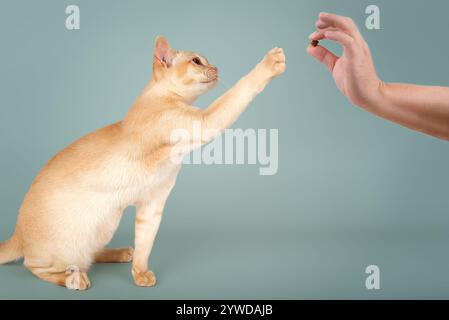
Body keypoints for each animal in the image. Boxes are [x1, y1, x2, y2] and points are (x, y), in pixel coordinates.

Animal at [0, 37, 286, 290]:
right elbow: (239, 90)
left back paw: (120, 253)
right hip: (73, 242)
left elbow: (145, 245)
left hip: (107, 221)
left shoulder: (153, 203)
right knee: (35, 266)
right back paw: (74, 279)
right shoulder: (205, 121)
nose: (216, 68)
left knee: (90, 254)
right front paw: (271, 62)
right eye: (197, 61)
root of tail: (18, 230)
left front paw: (140, 275)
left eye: (207, 60)